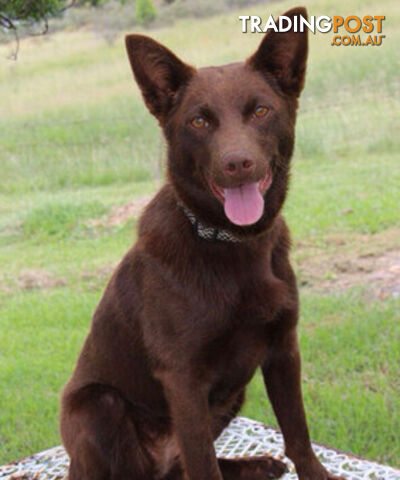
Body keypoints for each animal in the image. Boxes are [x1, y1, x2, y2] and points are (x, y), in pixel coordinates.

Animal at [61, 7, 346, 480]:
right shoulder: (183, 379)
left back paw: (256, 464)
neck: (230, 243)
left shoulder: (283, 350)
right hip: (97, 405)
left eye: (261, 110)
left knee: (182, 468)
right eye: (199, 120)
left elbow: (298, 434)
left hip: (231, 397)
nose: (238, 163)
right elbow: (203, 463)